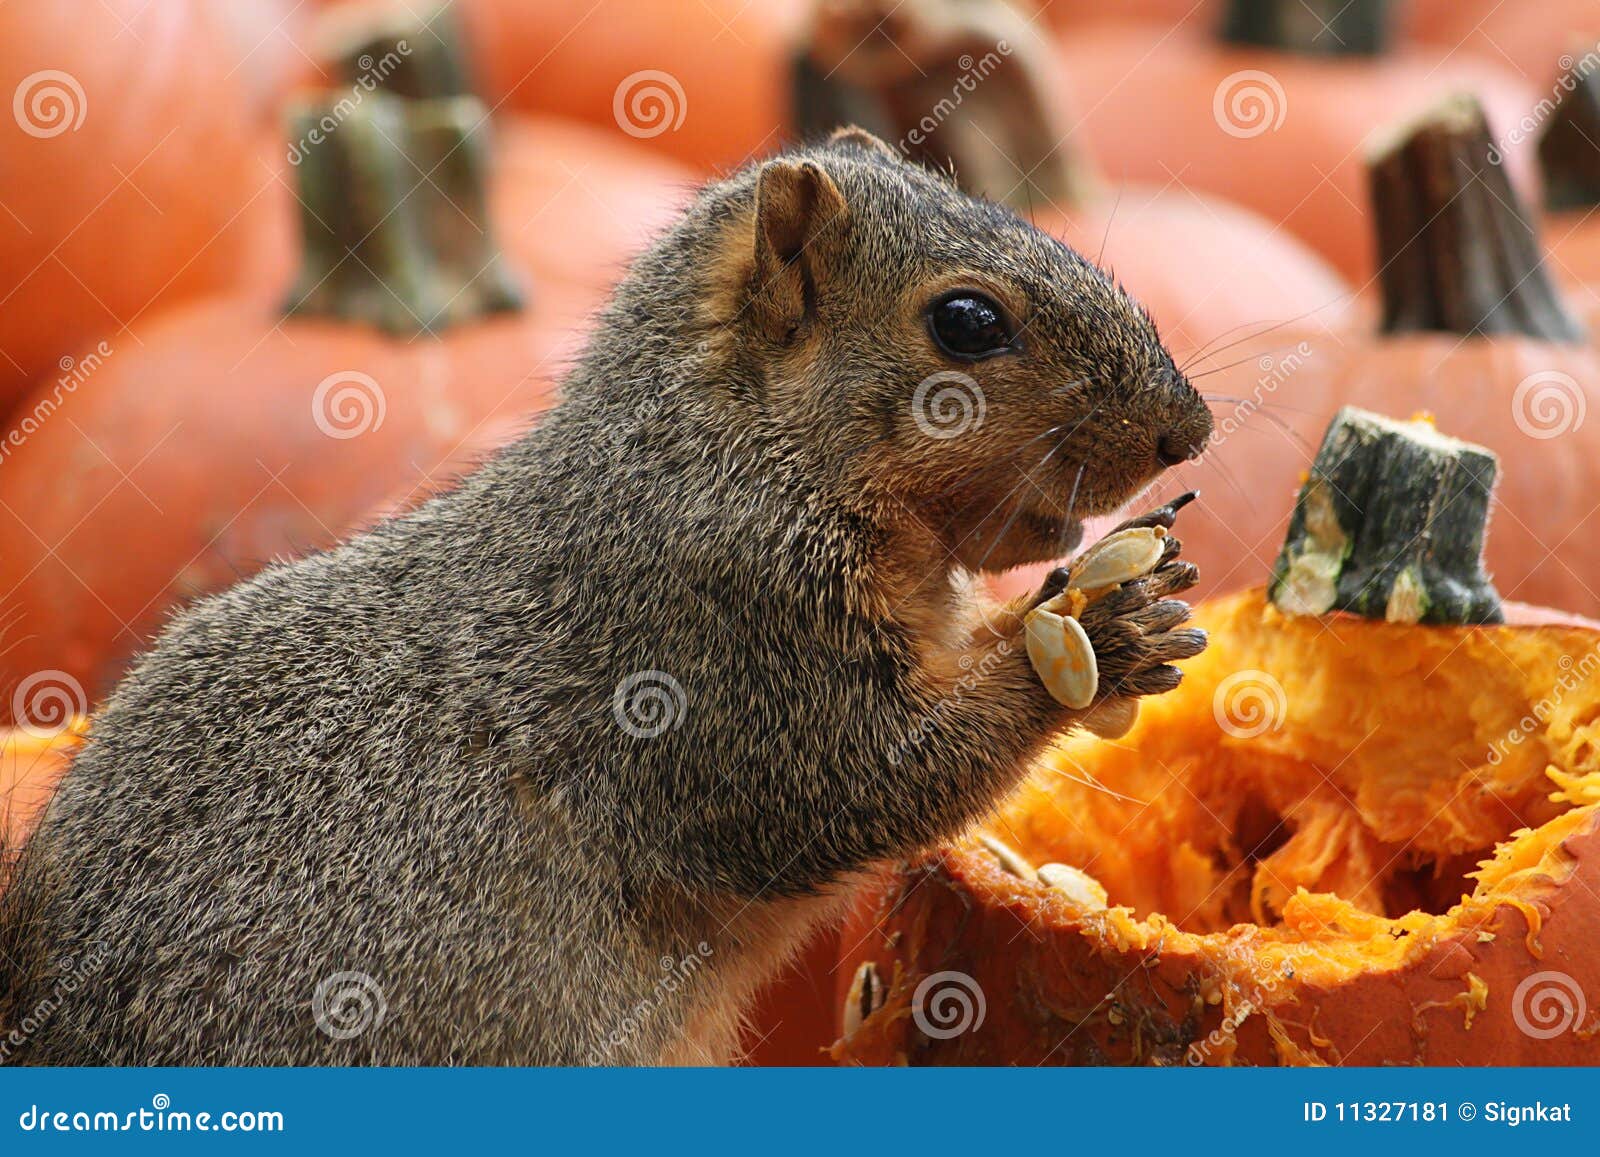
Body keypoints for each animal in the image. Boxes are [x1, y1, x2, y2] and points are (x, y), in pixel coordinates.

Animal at [0, 128, 1211, 1065]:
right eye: (966, 322)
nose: (1188, 430)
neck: (736, 451)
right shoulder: (706, 645)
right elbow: (862, 774)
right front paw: (1093, 633)